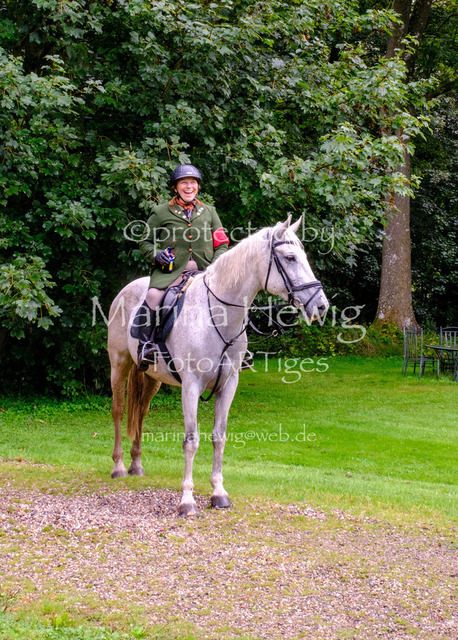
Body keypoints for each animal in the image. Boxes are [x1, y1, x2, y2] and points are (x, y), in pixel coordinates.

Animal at [107, 216, 329, 516]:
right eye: (290, 258)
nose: (321, 306)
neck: (218, 316)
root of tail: (127, 289)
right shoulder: (190, 386)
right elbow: (191, 440)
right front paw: (187, 500)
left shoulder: (228, 384)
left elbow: (219, 437)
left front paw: (219, 493)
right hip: (119, 365)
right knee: (119, 411)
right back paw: (119, 466)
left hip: (152, 378)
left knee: (140, 413)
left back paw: (136, 465)